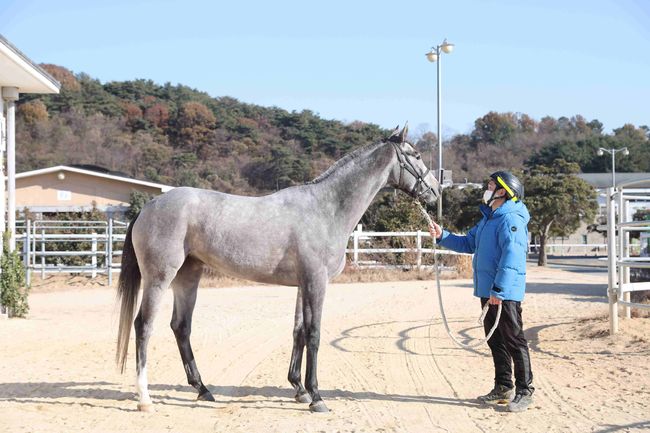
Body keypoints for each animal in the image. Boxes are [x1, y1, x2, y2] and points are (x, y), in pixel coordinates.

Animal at [116, 123, 438, 410]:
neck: (326, 209)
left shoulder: (302, 284)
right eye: (417, 155)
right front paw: (317, 397)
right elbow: (314, 334)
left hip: (188, 276)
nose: (435, 192)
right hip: (159, 277)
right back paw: (145, 399)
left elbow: (298, 331)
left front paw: (299, 390)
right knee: (144, 325)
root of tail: (148, 206)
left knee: (181, 327)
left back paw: (203, 389)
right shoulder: (316, 281)